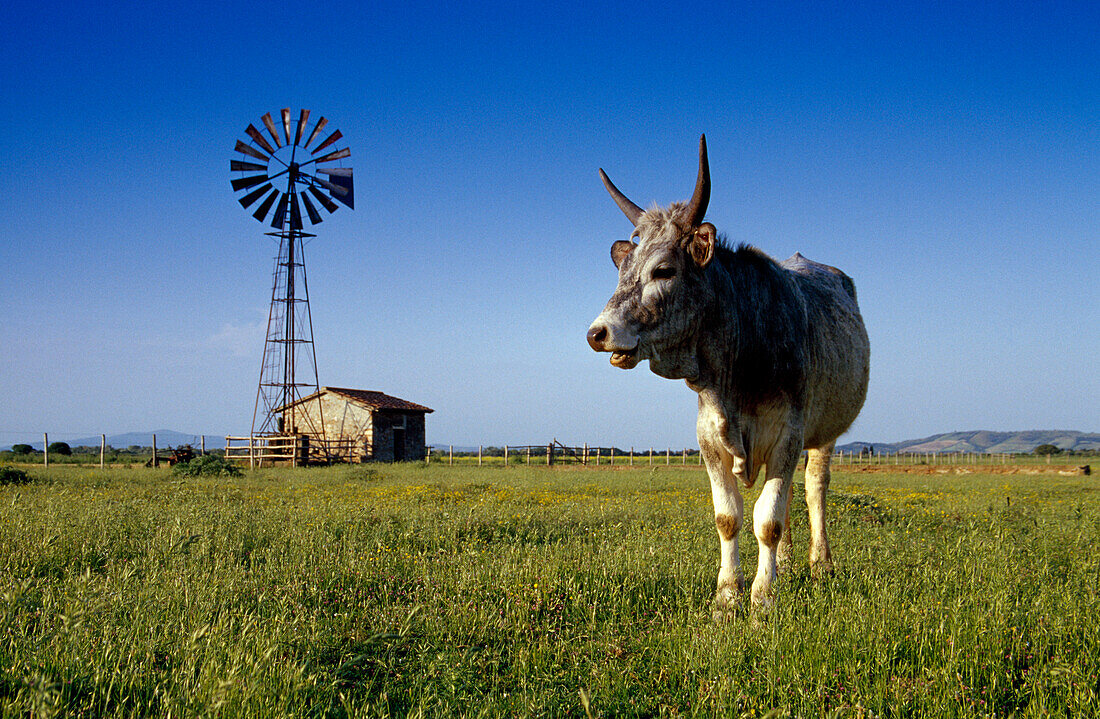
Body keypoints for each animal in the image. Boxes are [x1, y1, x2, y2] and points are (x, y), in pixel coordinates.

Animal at [585, 136, 866, 620]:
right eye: (622, 271)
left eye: (664, 270)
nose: (597, 333)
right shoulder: (709, 439)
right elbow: (730, 517)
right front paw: (728, 596)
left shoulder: (788, 433)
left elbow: (768, 521)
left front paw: (762, 599)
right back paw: (788, 565)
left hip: (823, 434)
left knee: (814, 490)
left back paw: (820, 564)